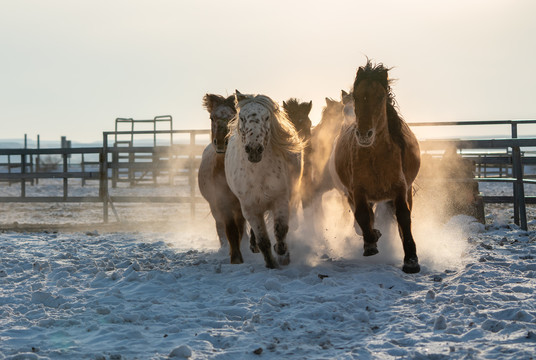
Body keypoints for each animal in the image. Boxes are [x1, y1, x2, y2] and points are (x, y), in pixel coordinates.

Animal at [199, 94, 251, 262]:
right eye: (212, 117)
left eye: (233, 117)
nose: (221, 142)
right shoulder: (222, 202)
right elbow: (230, 228)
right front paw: (235, 257)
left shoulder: (240, 203)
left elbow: (240, 227)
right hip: (213, 206)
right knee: (220, 226)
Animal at [223, 91, 306, 268]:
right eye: (242, 117)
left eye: (267, 117)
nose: (254, 149)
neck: (258, 174)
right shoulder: (250, 208)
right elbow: (263, 240)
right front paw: (271, 263)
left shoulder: (280, 199)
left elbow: (280, 230)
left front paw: (282, 254)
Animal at [330, 60, 422, 272]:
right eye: (357, 96)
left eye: (380, 97)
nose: (364, 135)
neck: (376, 159)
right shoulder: (357, 191)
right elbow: (363, 216)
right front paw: (371, 242)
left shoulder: (400, 188)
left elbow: (403, 217)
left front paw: (411, 260)